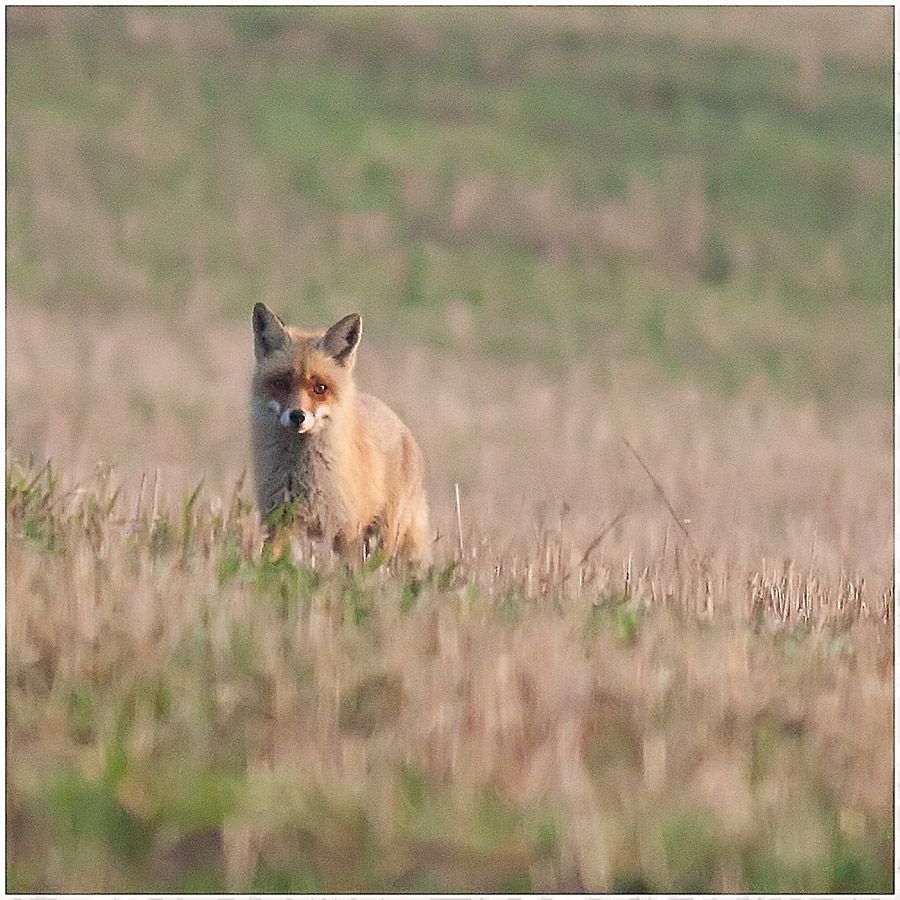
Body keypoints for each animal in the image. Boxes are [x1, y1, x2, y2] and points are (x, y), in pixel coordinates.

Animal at [250, 302, 432, 568]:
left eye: (320, 388)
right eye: (281, 384)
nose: (297, 416)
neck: (302, 477)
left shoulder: (345, 531)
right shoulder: (280, 521)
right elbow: (269, 563)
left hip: (385, 535)